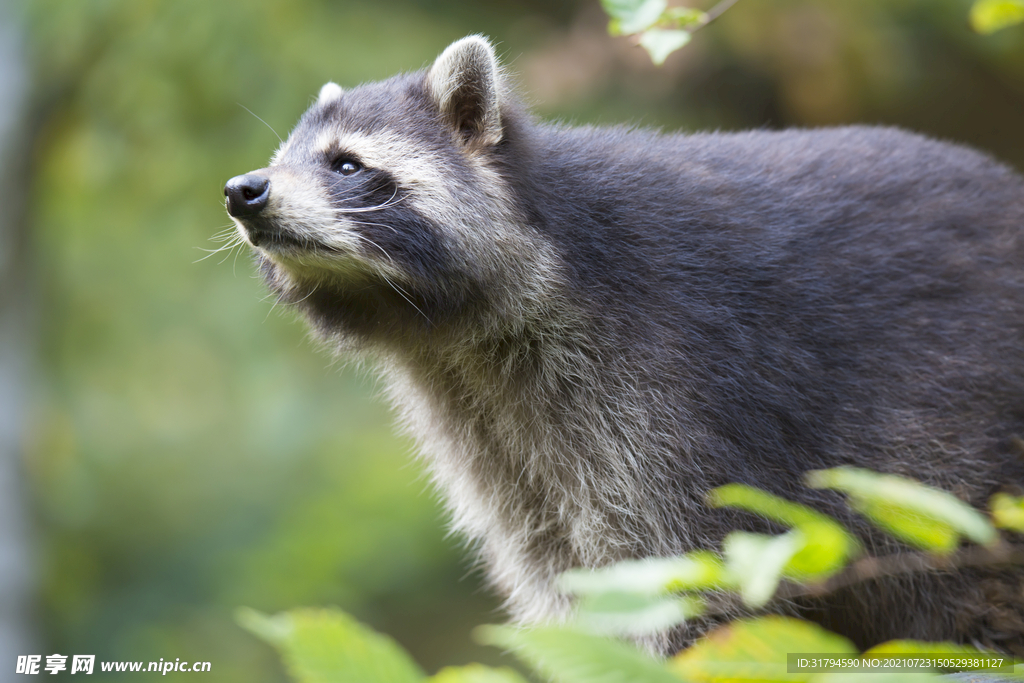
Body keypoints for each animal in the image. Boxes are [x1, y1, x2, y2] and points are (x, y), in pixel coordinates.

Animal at [226, 36, 1024, 651]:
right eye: (280, 156)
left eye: (346, 164)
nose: (243, 189)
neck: (449, 330)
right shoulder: (485, 433)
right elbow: (560, 573)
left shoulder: (669, 383)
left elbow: (687, 571)